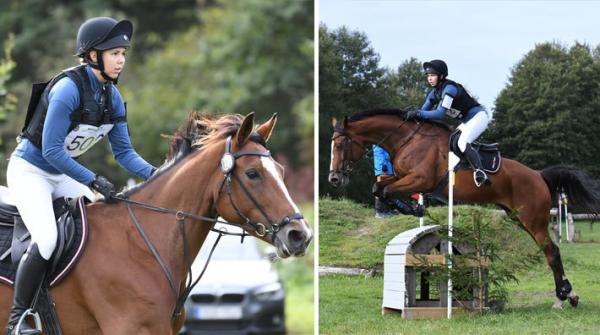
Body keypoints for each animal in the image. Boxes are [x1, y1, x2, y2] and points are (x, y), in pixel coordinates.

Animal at [328, 109, 600, 312]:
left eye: (341, 145)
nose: (334, 179)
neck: (408, 140)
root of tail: (538, 175)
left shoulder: (420, 179)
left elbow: (384, 189)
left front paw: (411, 208)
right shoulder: (405, 178)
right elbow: (379, 186)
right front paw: (414, 208)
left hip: (533, 219)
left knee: (552, 252)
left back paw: (563, 298)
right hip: (519, 219)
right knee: (549, 251)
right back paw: (568, 296)